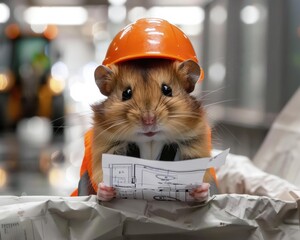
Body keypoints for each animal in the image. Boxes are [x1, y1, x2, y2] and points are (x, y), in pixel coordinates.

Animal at [92, 59, 212, 202]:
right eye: (126, 93)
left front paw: (199, 189)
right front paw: (106, 189)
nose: (148, 120)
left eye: (167, 89)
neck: (150, 141)